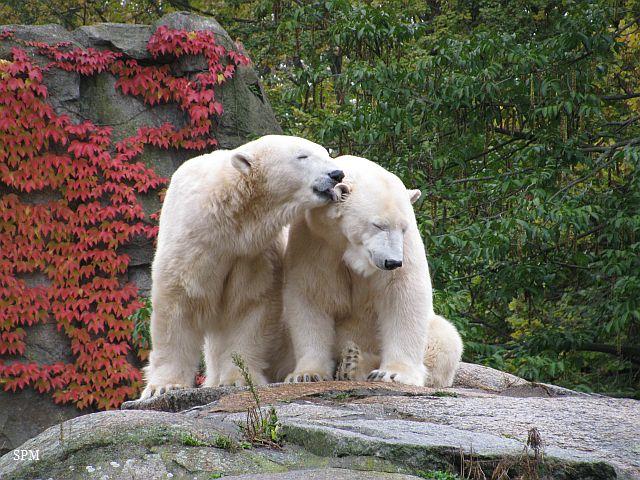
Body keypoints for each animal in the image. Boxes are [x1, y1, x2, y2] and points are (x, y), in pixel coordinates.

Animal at [140, 135, 344, 399]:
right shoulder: (191, 242)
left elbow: (249, 306)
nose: (337, 174)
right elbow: (177, 305)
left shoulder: (253, 255)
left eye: (326, 153)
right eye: (303, 156)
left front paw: (239, 379)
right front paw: (164, 386)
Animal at [282, 155, 463, 387]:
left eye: (403, 227)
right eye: (378, 225)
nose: (393, 262)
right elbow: (312, 295)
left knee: (445, 340)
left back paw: (354, 362)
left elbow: (403, 293)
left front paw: (393, 373)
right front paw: (307, 374)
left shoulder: (406, 246)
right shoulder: (314, 242)